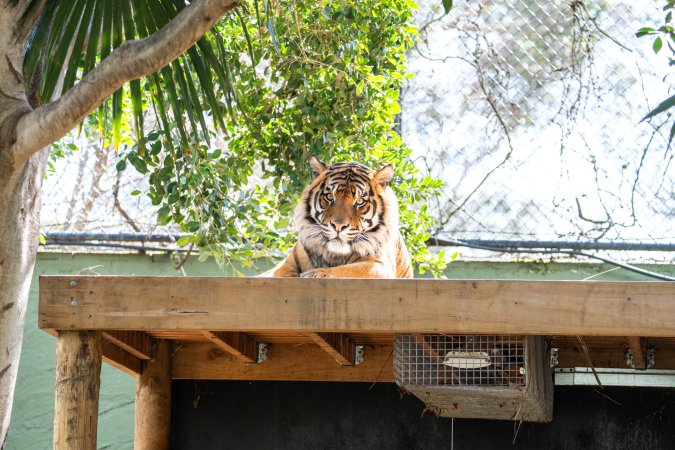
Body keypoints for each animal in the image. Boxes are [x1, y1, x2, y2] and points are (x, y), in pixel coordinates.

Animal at [265, 156, 413, 278]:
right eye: (330, 197)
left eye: (360, 201)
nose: (338, 226)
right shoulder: (285, 265)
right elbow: (282, 273)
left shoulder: (379, 265)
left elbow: (347, 270)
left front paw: (315, 274)